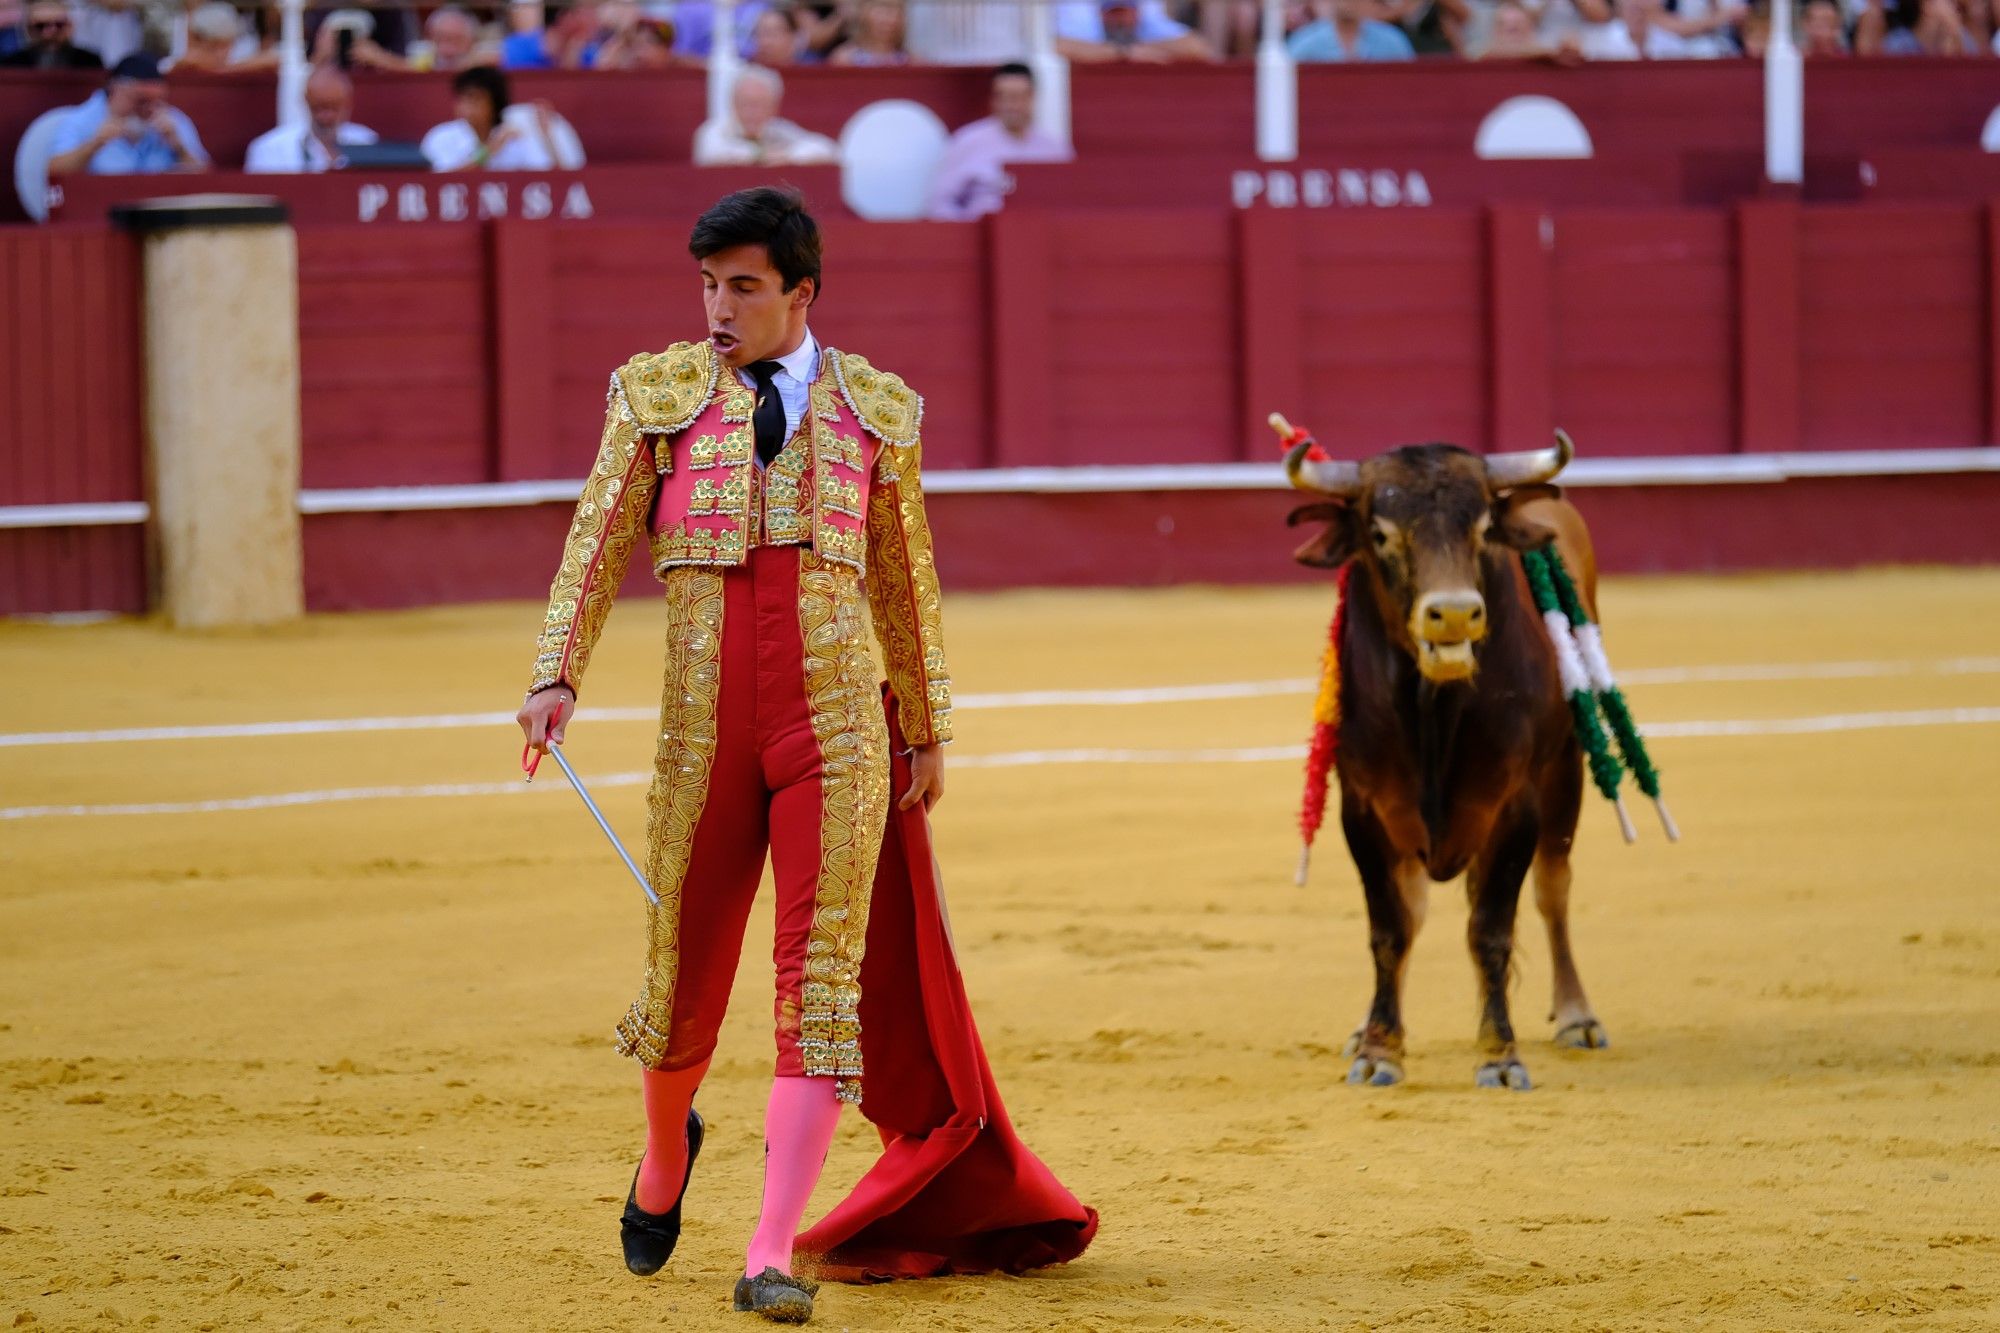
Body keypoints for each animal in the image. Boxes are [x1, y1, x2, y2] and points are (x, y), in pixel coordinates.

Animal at [1280, 430, 1608, 1088]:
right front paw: (1379, 1049)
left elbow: (1491, 930)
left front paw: (1500, 1055)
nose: (1454, 613)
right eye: (1380, 533)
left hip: (1566, 771)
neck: (1432, 709)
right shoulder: (1363, 810)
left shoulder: (1515, 806)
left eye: (1483, 528)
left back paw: (1576, 1016)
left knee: (1553, 887)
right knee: (1414, 908)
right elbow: (1390, 928)